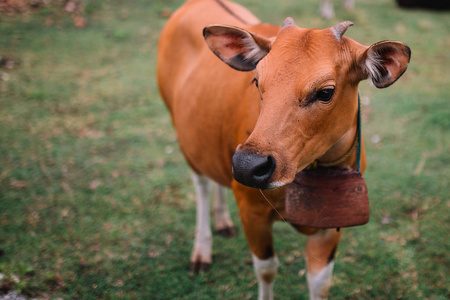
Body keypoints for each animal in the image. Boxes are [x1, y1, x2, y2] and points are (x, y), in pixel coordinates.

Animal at [156, 1, 410, 298]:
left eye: (325, 92)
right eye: (256, 81)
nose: (247, 165)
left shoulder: (332, 225)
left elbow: (320, 282)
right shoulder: (250, 207)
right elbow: (266, 269)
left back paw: (223, 222)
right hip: (181, 130)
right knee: (201, 184)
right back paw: (201, 252)